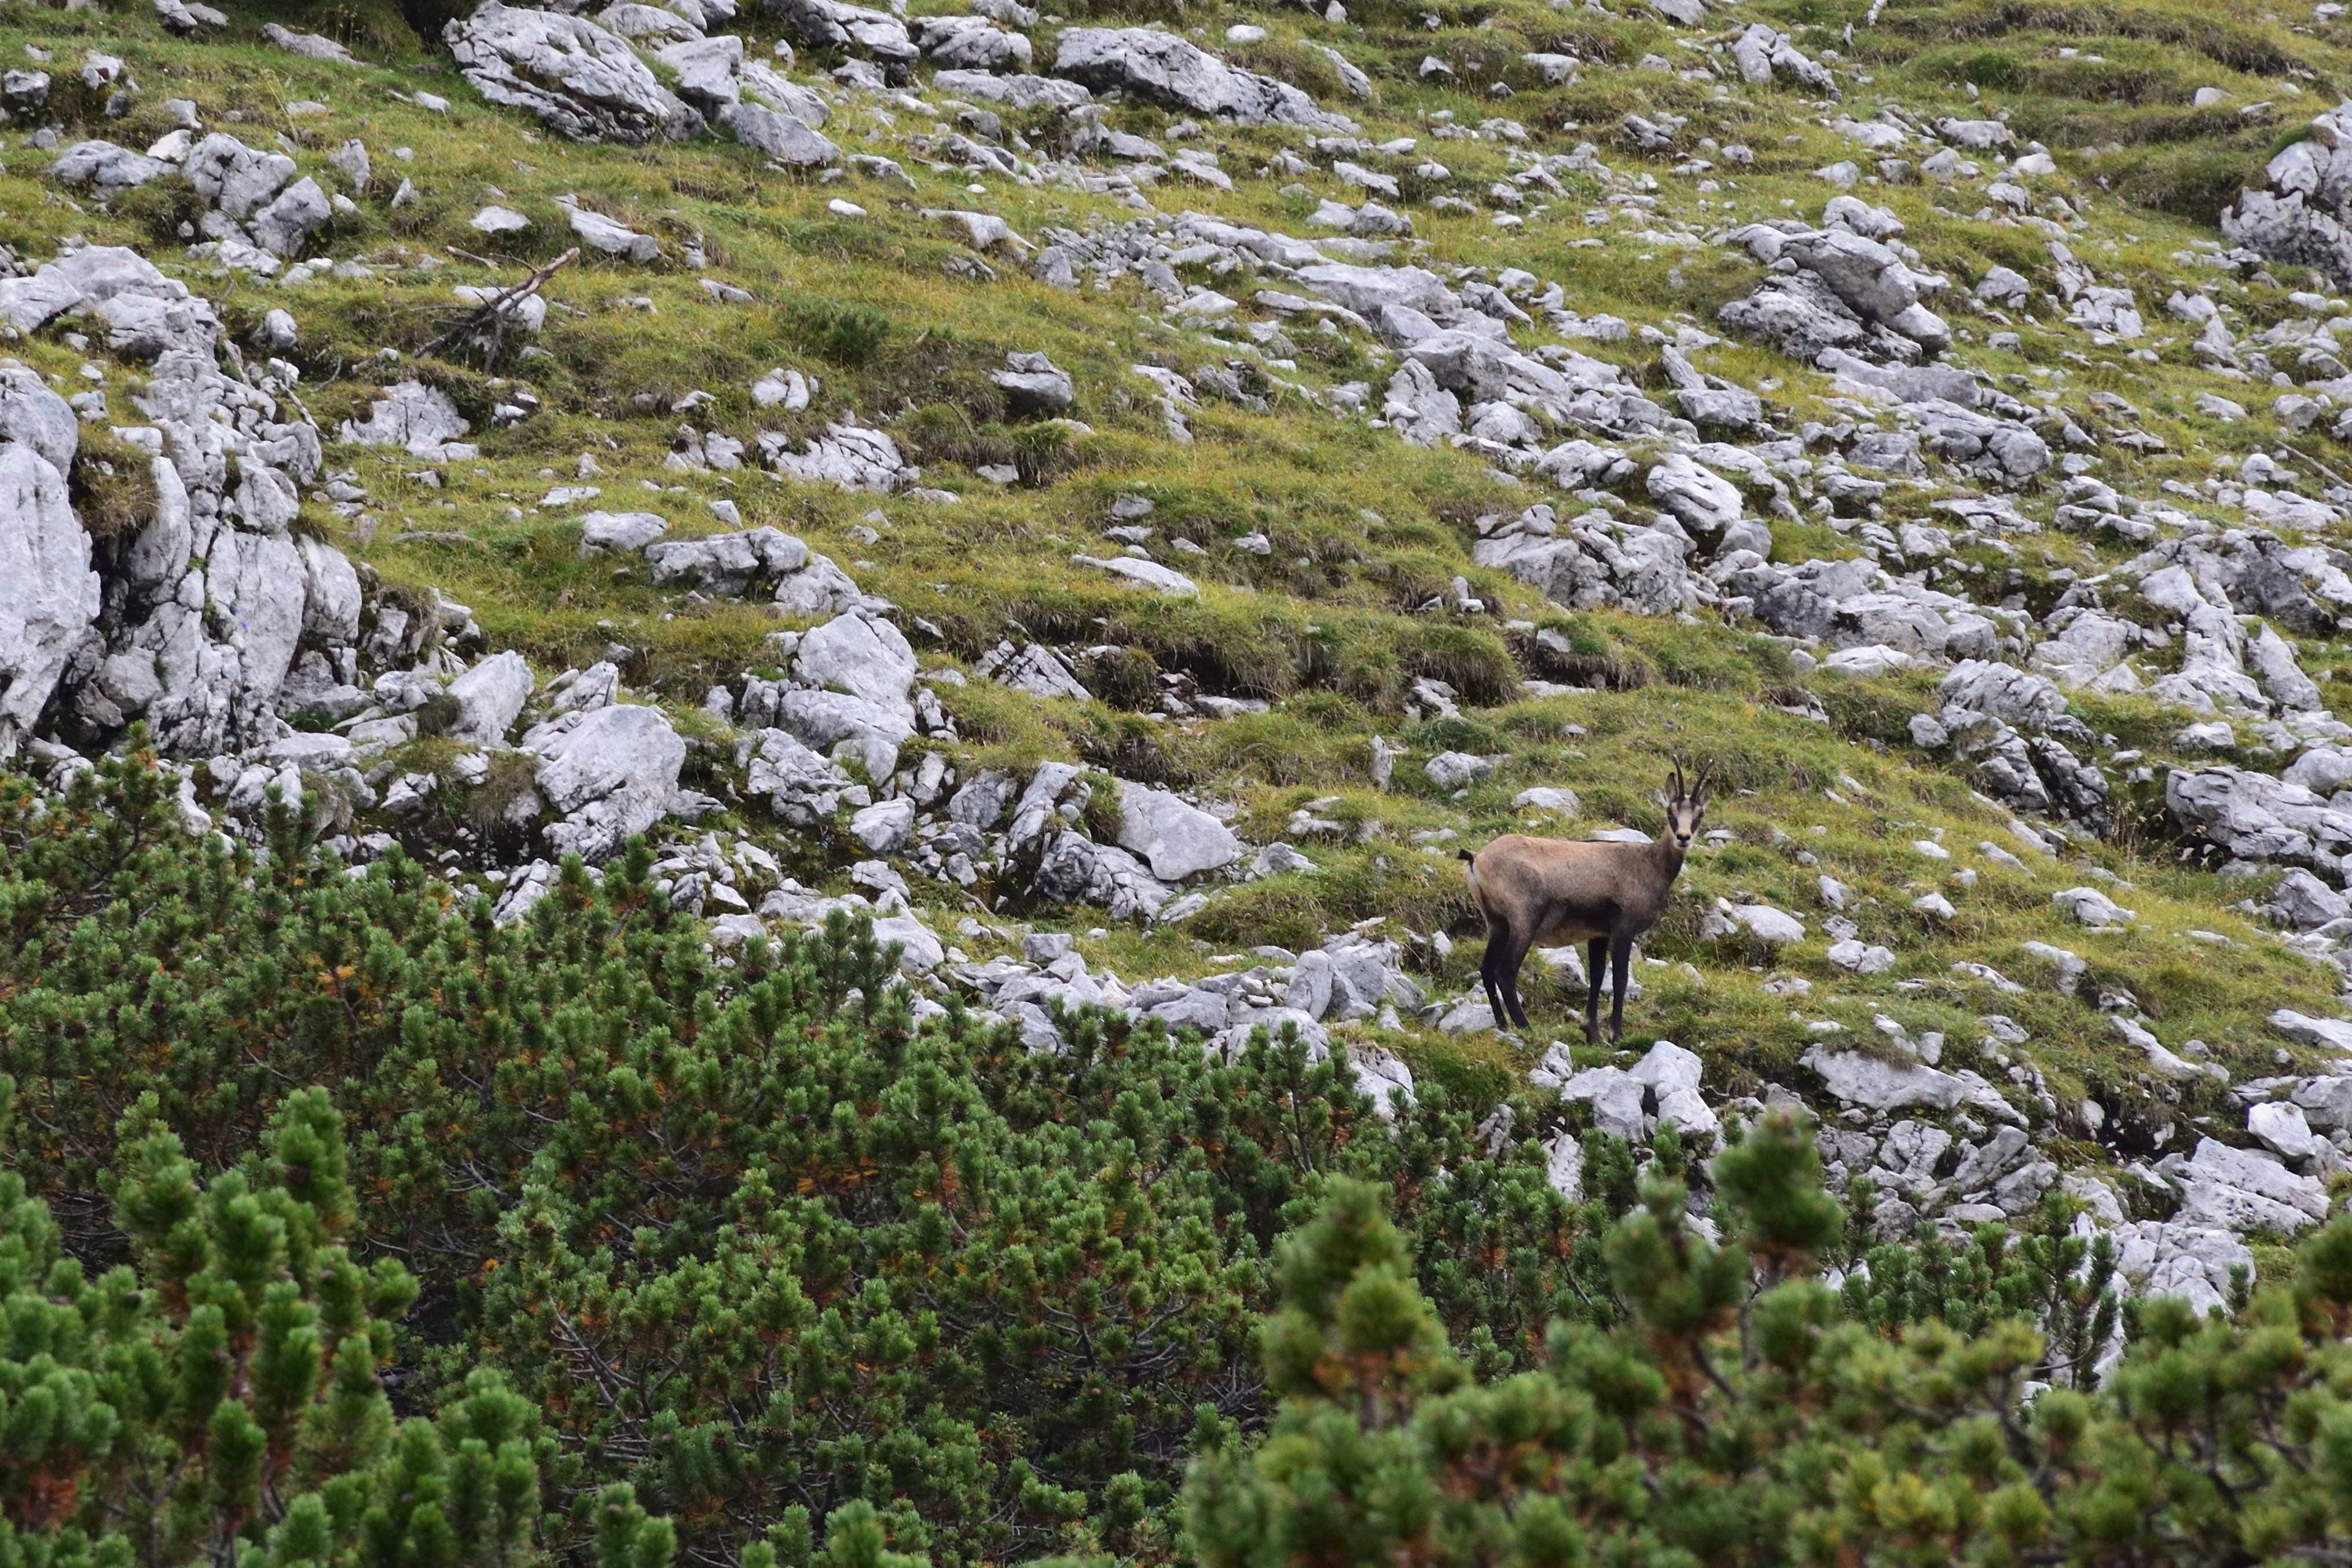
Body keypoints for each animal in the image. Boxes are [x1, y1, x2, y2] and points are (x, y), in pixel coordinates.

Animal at [1460, 758, 1712, 1044]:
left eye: (1699, 814)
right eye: (1671, 811)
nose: (1683, 837)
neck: (1650, 864)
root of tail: (1477, 857)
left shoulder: (1598, 934)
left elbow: (1598, 976)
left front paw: (1592, 1032)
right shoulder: (1623, 929)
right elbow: (1620, 979)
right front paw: (1616, 1034)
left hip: (1497, 923)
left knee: (1487, 968)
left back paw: (1503, 1025)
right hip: (1524, 920)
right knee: (1505, 972)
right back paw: (1525, 1027)